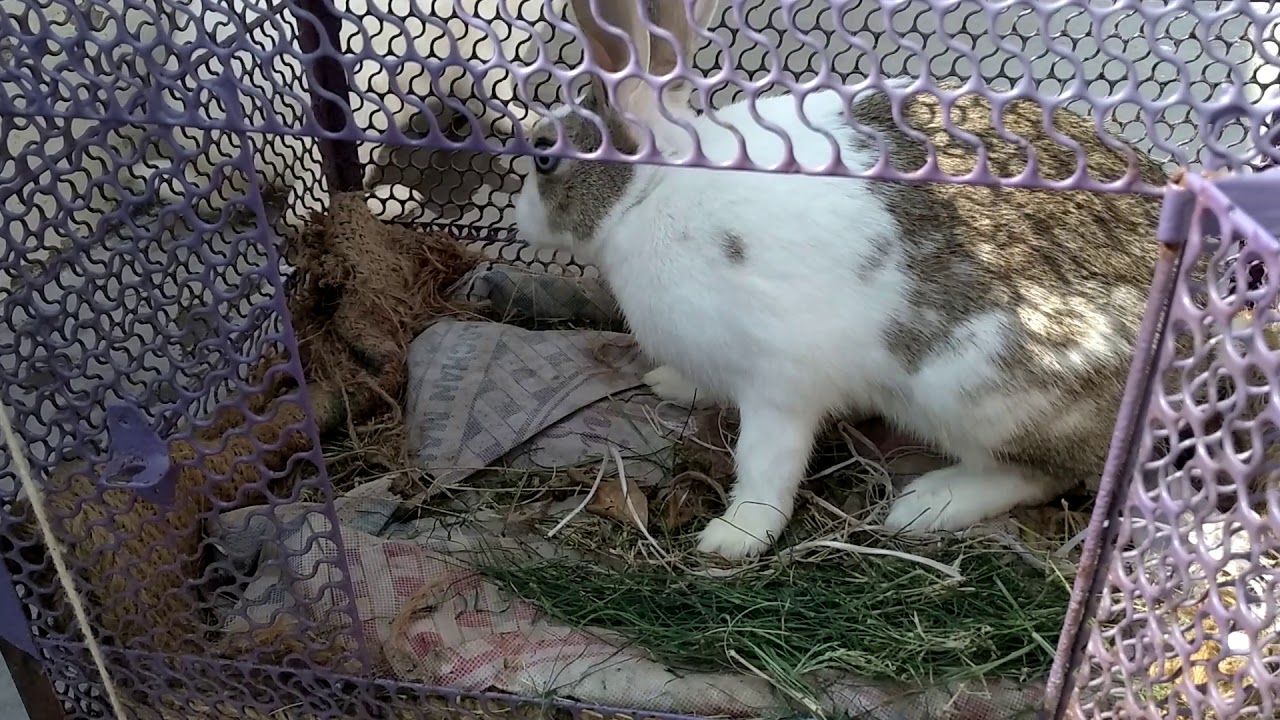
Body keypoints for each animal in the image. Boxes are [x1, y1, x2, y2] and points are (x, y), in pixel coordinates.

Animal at [512, 0, 1170, 560]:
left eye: (544, 154)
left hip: (979, 391)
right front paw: (671, 383)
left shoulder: (779, 384)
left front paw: (733, 537)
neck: (652, 188)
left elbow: (767, 463)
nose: (519, 220)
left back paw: (926, 504)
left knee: (1048, 473)